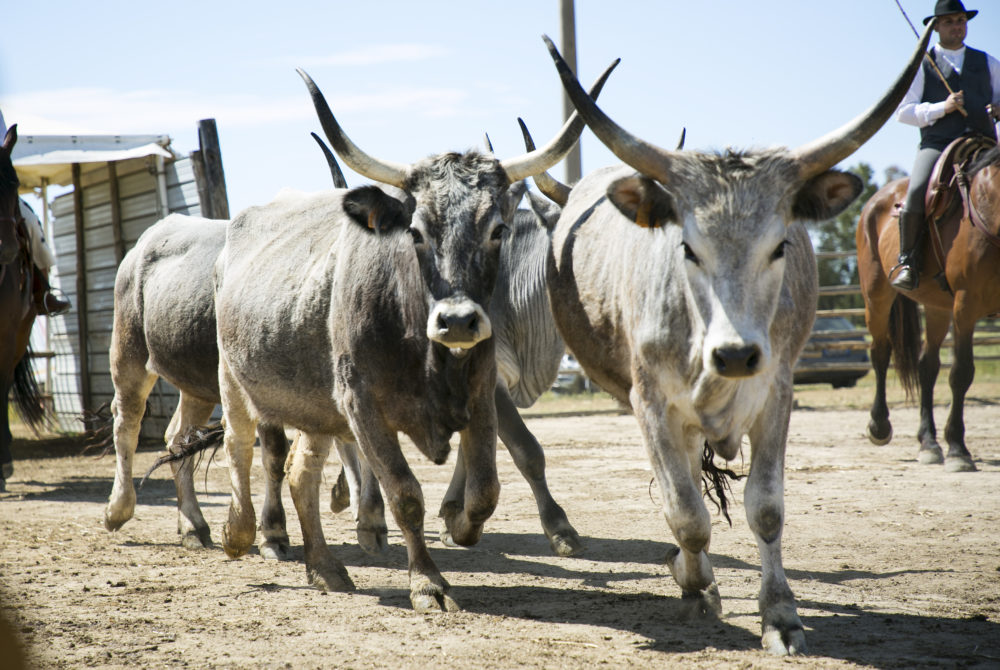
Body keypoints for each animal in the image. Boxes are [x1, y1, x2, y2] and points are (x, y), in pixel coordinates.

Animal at [852, 144, 1000, 476]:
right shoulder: (965, 306)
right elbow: (961, 372)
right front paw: (958, 449)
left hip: (936, 308)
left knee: (926, 367)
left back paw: (929, 443)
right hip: (877, 297)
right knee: (880, 354)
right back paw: (880, 426)